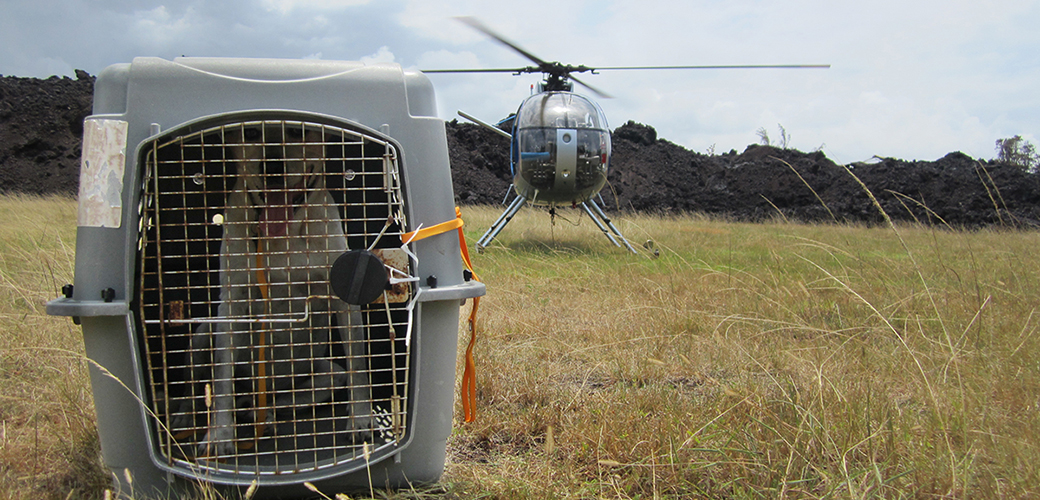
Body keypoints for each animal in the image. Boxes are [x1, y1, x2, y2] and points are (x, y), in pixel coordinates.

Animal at [136, 117, 411, 467]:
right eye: (251, 132)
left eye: (297, 131)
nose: (272, 166)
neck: (286, 233)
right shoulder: (232, 305)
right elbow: (221, 381)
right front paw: (219, 435)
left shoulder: (344, 301)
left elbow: (359, 368)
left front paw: (360, 420)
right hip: (202, 335)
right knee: (196, 389)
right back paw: (190, 416)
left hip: (324, 374)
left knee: (285, 399)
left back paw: (259, 415)